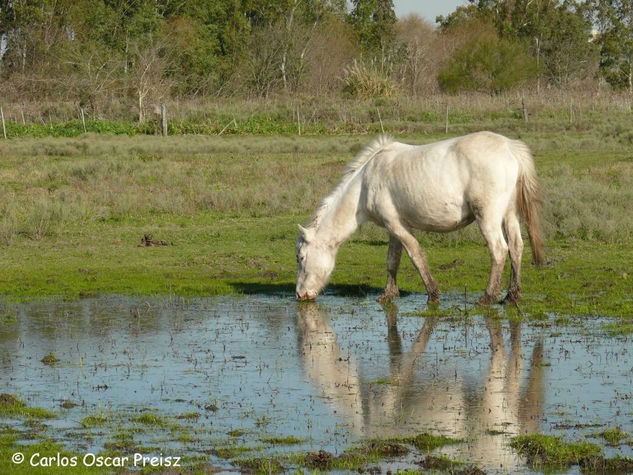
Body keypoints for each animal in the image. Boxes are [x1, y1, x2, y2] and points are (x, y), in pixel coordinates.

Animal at [296, 132, 544, 304]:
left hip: (488, 217)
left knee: (499, 250)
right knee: (516, 247)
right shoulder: (392, 227)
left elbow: (416, 255)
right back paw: (511, 296)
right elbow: (392, 259)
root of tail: (509, 147)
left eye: (301, 257)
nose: (300, 294)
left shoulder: (398, 226)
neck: (366, 183)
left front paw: (432, 293)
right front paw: (389, 294)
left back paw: (489, 296)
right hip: (509, 215)